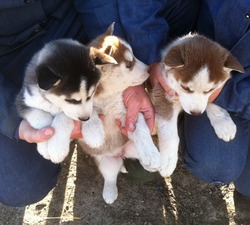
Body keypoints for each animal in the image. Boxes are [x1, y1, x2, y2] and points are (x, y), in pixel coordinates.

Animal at [77, 23, 161, 204]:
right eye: (128, 65)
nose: (149, 69)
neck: (105, 96)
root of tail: (121, 154)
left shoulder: (126, 112)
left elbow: (140, 129)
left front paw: (151, 156)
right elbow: (88, 112)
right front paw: (94, 132)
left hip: (132, 146)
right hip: (106, 162)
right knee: (110, 177)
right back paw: (110, 192)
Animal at [151, 33, 245, 178]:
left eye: (210, 89)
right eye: (185, 88)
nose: (195, 113)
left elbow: (213, 100)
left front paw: (224, 124)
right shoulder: (163, 93)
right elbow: (169, 134)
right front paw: (168, 161)